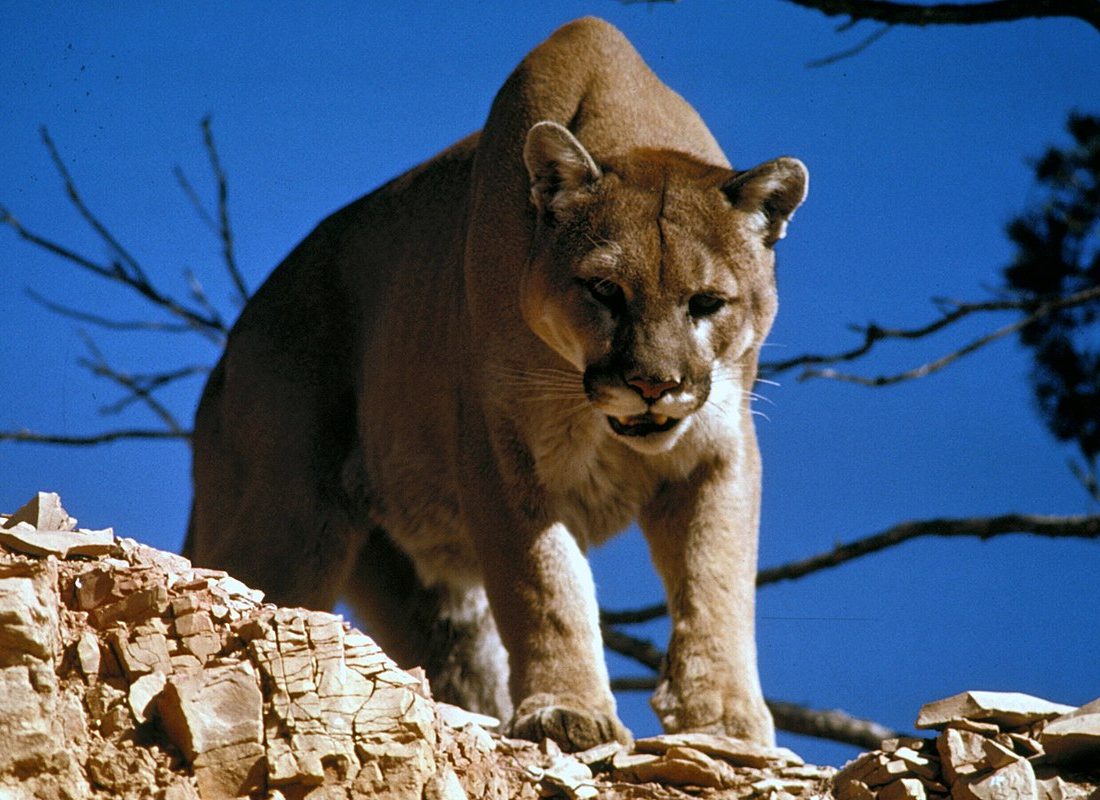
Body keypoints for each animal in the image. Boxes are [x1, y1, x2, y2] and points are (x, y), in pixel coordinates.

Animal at [187, 17, 807, 752]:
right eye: (605, 290)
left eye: (708, 302)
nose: (654, 384)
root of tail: (230, 350)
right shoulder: (500, 449)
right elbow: (545, 584)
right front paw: (569, 711)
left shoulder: (718, 448)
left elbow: (716, 581)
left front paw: (725, 720)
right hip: (287, 520)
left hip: (421, 587)